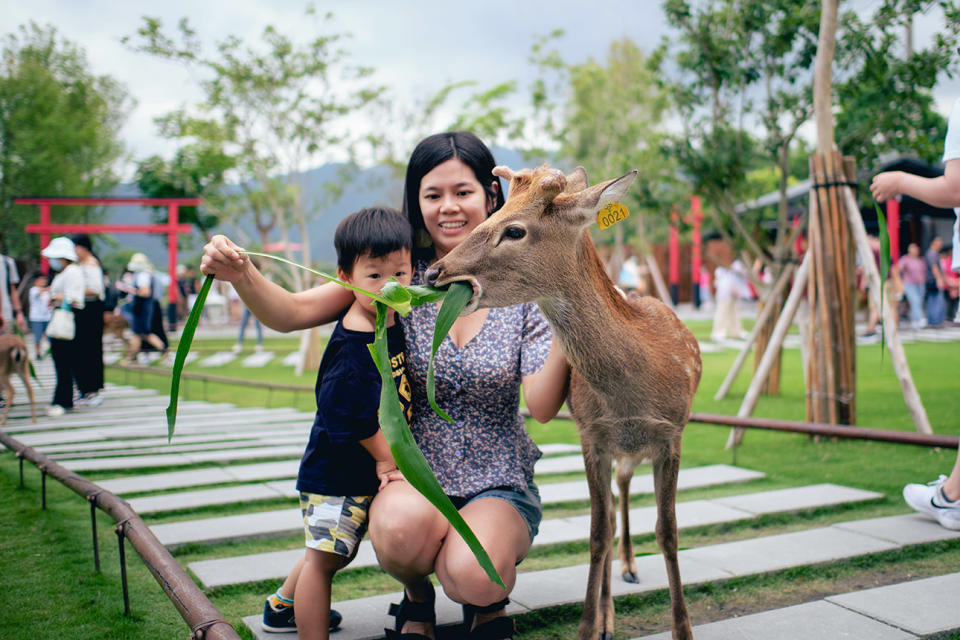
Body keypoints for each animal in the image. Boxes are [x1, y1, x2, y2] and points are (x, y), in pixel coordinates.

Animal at [432, 165, 700, 640]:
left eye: (514, 229)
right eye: (492, 213)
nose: (434, 272)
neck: (636, 388)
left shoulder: (672, 433)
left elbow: (668, 532)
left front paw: (682, 630)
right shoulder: (591, 436)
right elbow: (597, 533)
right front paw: (589, 626)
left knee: (623, 489)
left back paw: (631, 568)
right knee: (613, 505)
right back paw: (611, 609)